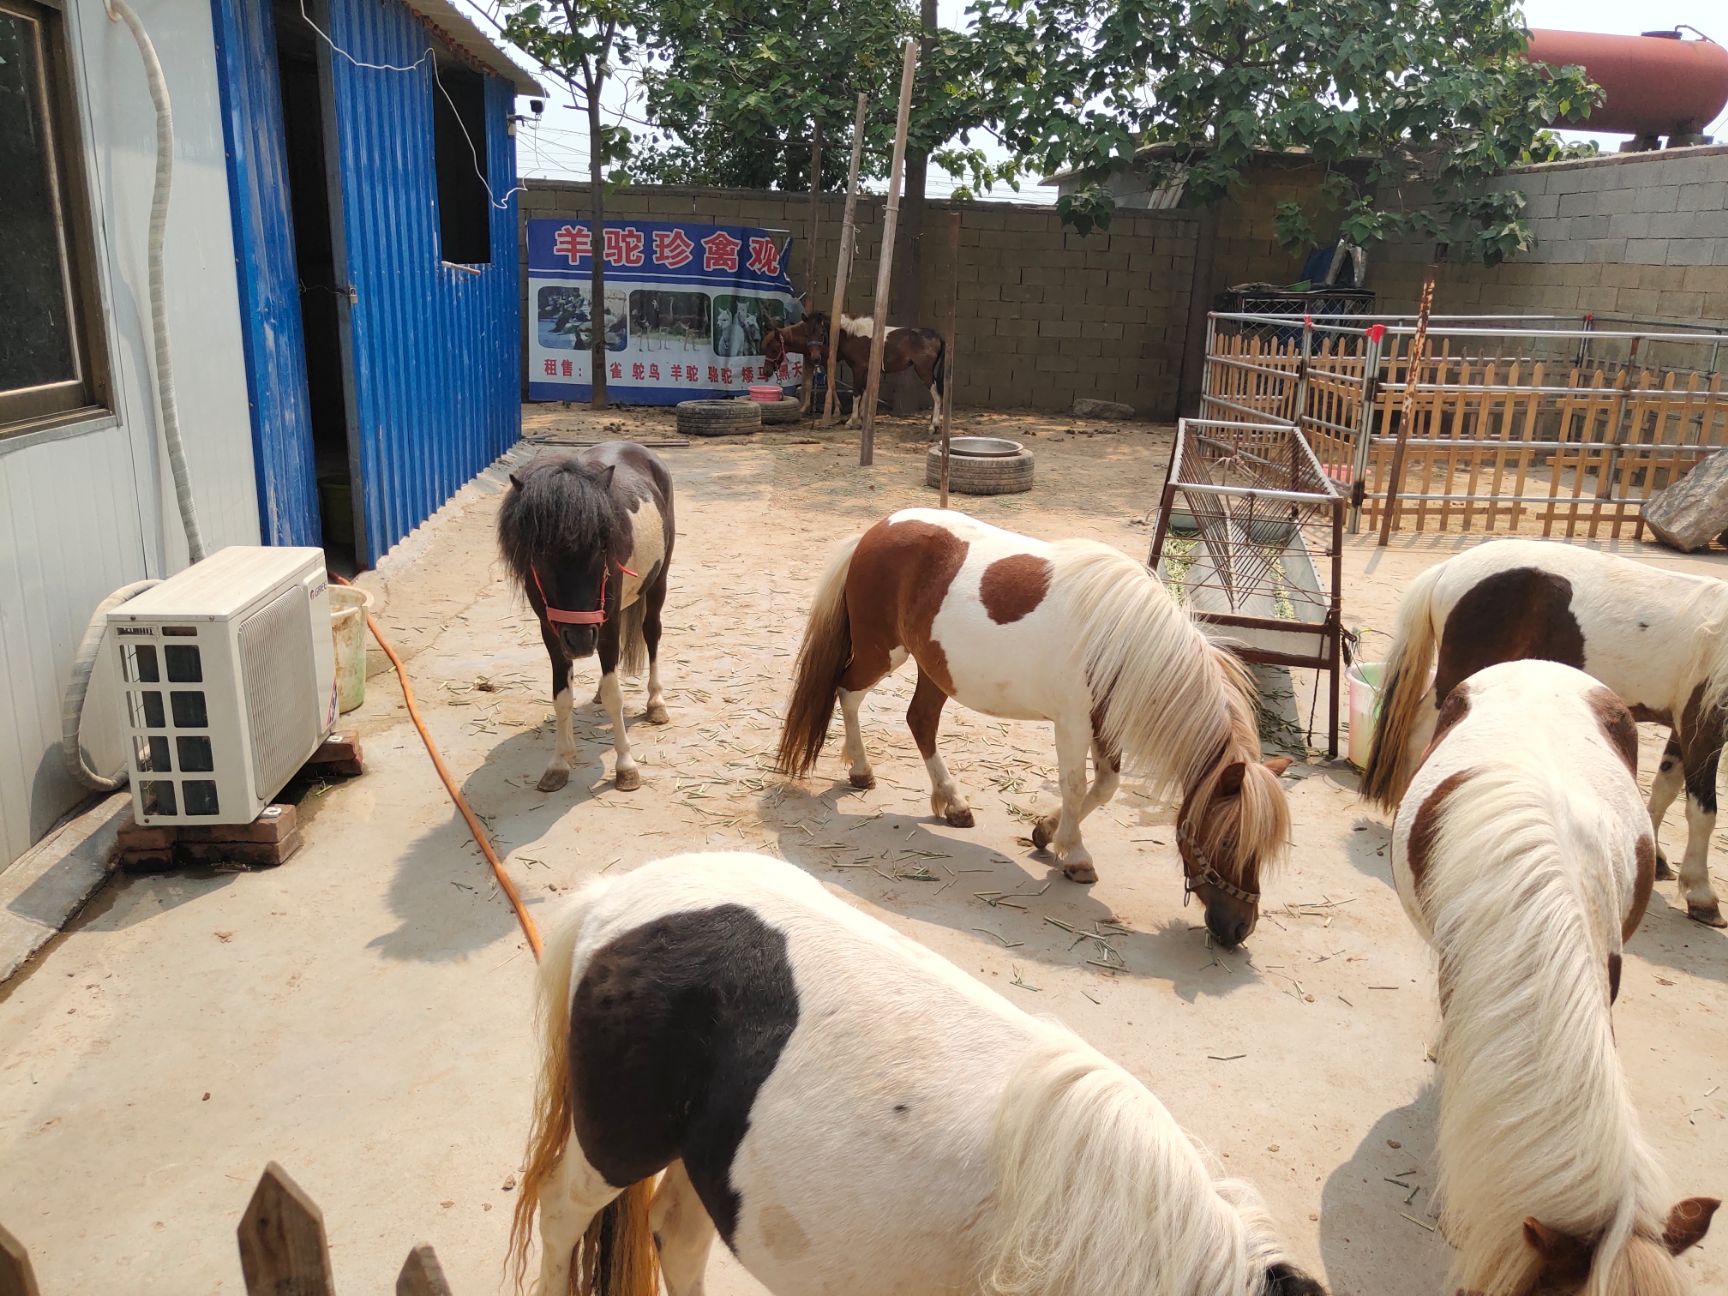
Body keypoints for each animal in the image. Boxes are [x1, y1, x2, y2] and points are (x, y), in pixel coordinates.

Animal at [497, 444, 675, 793]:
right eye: (539, 555)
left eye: (602, 548)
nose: (580, 642)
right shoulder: (552, 632)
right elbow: (561, 697)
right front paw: (559, 762)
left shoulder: (605, 627)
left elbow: (615, 696)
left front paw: (626, 767)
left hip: (657, 584)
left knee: (652, 633)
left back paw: (656, 703)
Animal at [775, 508, 1292, 947]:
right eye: (1227, 840)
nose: (1239, 929)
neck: (1126, 639)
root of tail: (875, 530)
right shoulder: (1073, 722)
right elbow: (1075, 783)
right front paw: (1076, 856)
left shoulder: (1106, 724)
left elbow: (1104, 787)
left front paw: (1046, 832)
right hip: (882, 652)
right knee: (848, 692)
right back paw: (862, 772)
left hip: (934, 668)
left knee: (919, 720)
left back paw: (952, 803)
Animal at [799, 310, 947, 434]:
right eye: (806, 334)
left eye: (821, 333)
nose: (815, 358)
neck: (853, 336)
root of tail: (937, 336)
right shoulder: (865, 371)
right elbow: (865, 394)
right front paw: (861, 420)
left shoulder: (858, 369)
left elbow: (857, 394)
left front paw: (851, 421)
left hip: (924, 371)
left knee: (937, 396)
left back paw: (933, 426)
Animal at [1359, 538, 1728, 927]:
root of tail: (1448, 569)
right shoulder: (1704, 727)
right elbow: (1703, 811)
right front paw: (1702, 894)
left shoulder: (1683, 727)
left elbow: (1665, 788)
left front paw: (1657, 860)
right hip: (1456, 677)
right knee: (1418, 736)